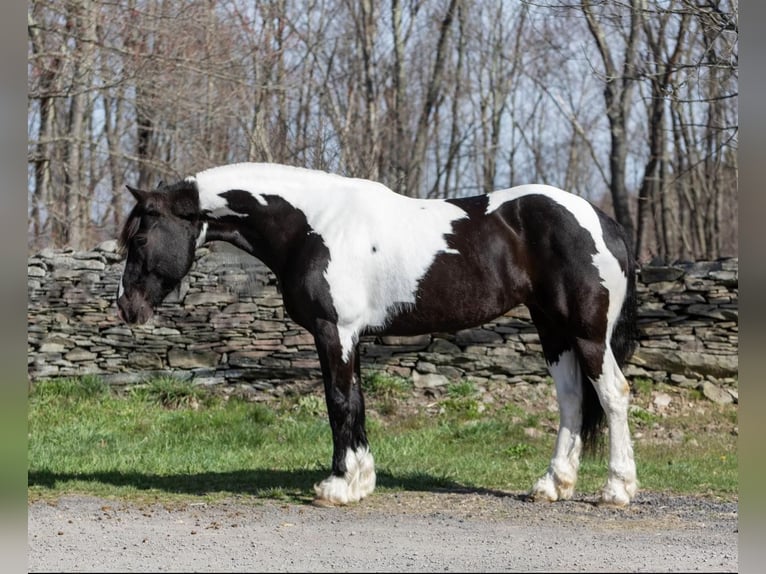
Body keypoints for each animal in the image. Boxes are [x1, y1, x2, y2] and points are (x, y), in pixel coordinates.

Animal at [115, 162, 640, 508]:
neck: (312, 225)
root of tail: (603, 221)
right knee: (572, 399)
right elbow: (356, 401)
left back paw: (616, 490)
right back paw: (552, 486)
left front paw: (338, 486)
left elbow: (338, 401)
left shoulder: (336, 332)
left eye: (140, 238)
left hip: (587, 333)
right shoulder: (350, 336)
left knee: (612, 394)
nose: (126, 306)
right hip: (552, 328)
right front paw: (360, 480)